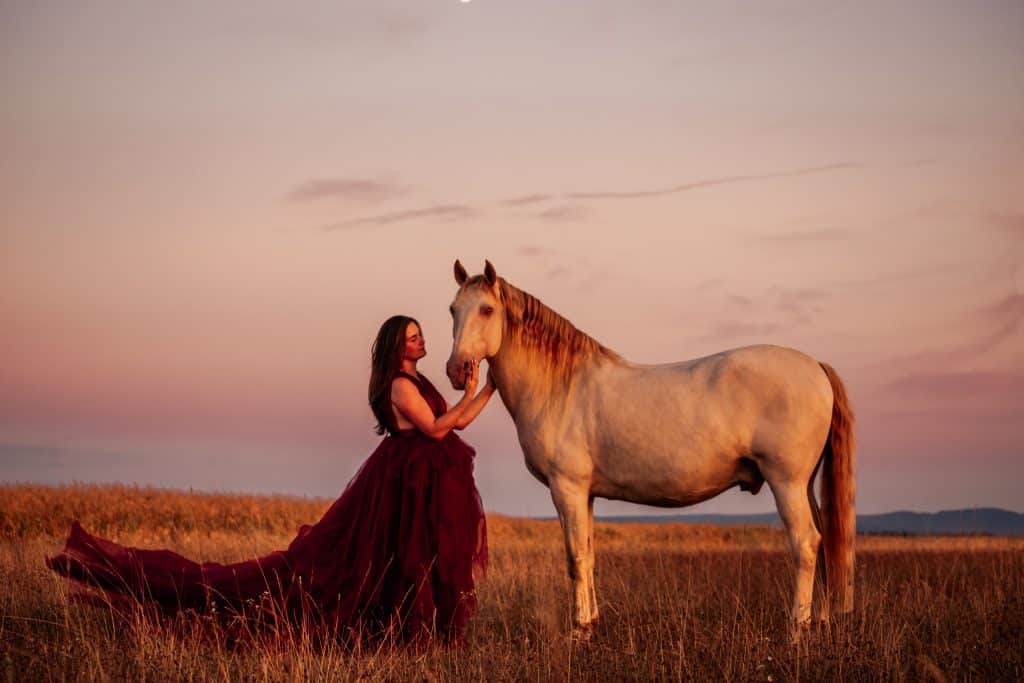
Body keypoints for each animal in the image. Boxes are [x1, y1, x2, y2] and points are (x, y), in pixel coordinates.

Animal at [445, 260, 856, 638]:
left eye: (487, 310)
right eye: (452, 309)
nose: (456, 370)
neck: (560, 386)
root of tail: (815, 366)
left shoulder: (567, 488)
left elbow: (575, 557)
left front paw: (579, 630)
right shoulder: (586, 494)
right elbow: (589, 554)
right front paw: (592, 622)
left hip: (786, 482)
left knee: (805, 543)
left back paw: (797, 627)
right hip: (803, 484)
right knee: (824, 541)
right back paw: (820, 620)